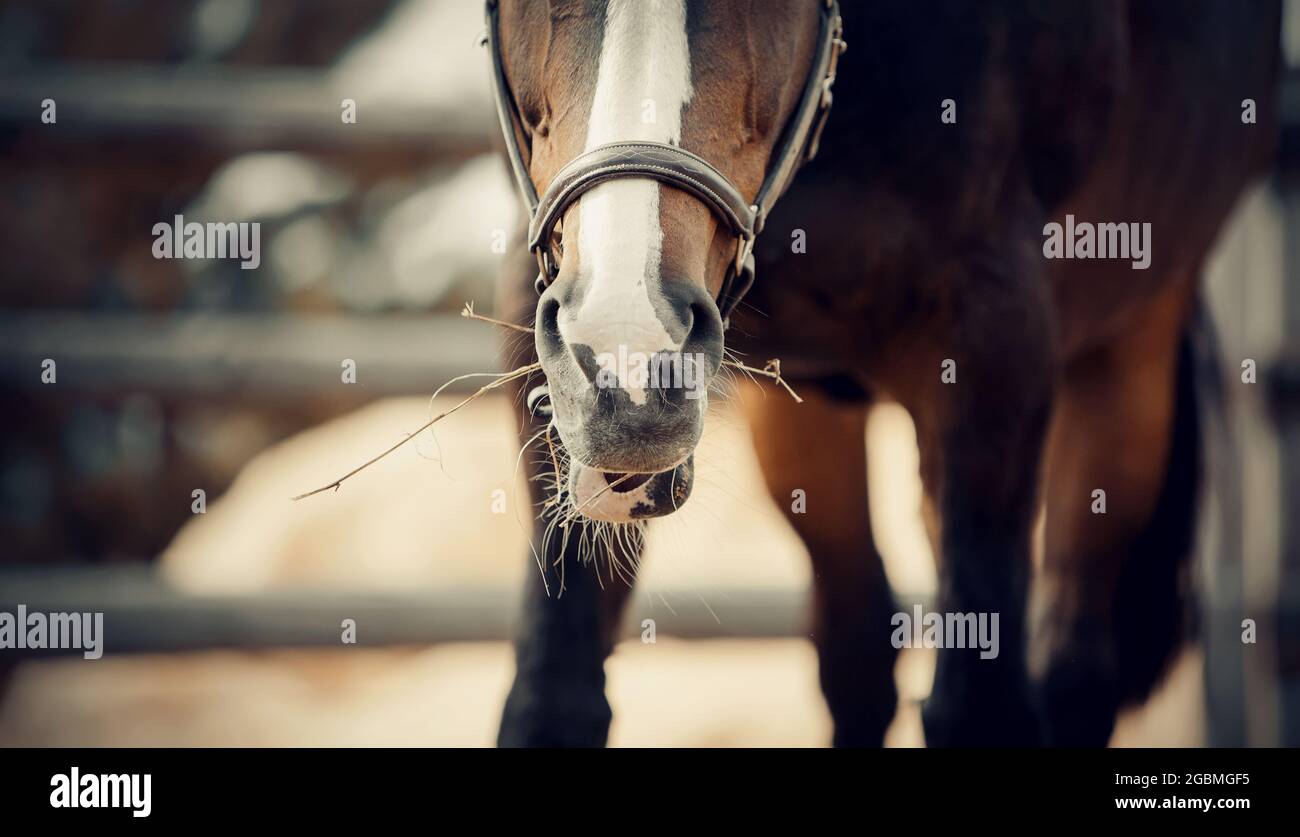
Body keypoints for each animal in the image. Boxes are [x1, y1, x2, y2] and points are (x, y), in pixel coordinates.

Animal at [486, 0, 1282, 746]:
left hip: (1131, 351)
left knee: (1075, 670)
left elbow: (978, 708)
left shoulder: (997, 343)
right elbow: (554, 702)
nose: (627, 362)